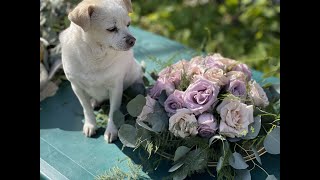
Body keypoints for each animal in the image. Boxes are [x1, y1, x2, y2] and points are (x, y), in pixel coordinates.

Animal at [58, 0, 142, 143]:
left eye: (128, 25)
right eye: (111, 29)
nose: (132, 40)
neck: (96, 56)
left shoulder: (115, 89)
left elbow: (113, 112)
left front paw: (111, 130)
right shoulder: (77, 87)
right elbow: (86, 109)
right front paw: (90, 124)